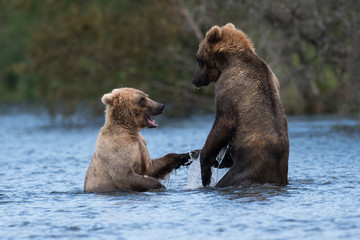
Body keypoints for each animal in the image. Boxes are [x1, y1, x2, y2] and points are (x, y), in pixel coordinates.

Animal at [191, 23, 290, 188]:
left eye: (198, 59)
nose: (195, 80)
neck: (227, 61)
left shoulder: (228, 88)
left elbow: (222, 123)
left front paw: (206, 166)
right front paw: (217, 160)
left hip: (246, 168)